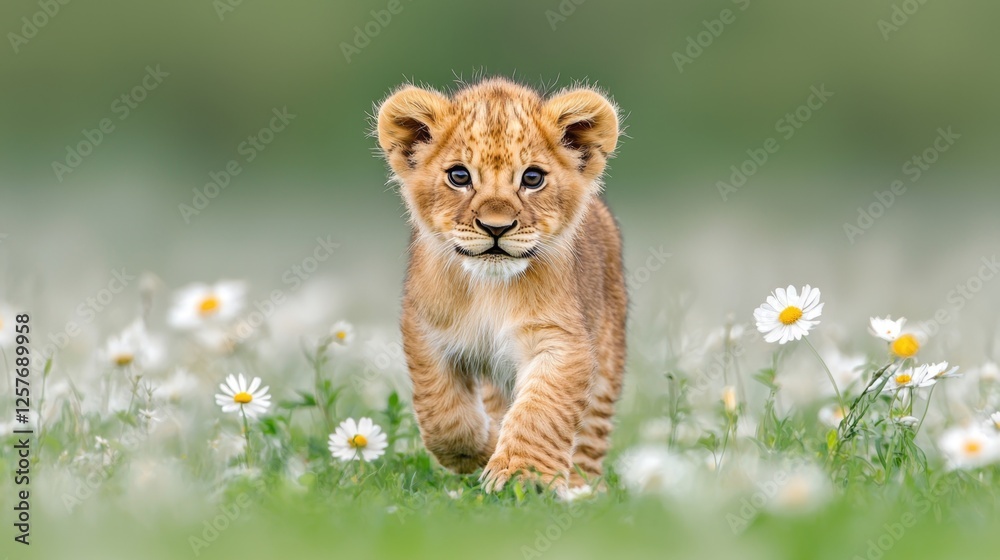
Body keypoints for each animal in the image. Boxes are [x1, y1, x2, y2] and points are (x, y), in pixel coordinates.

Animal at [375, 77, 626, 493]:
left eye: (532, 178)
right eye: (459, 176)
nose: (496, 227)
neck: (489, 289)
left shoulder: (561, 340)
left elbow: (542, 411)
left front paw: (522, 476)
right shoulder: (427, 333)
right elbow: (443, 414)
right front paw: (483, 449)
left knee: (590, 436)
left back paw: (580, 487)